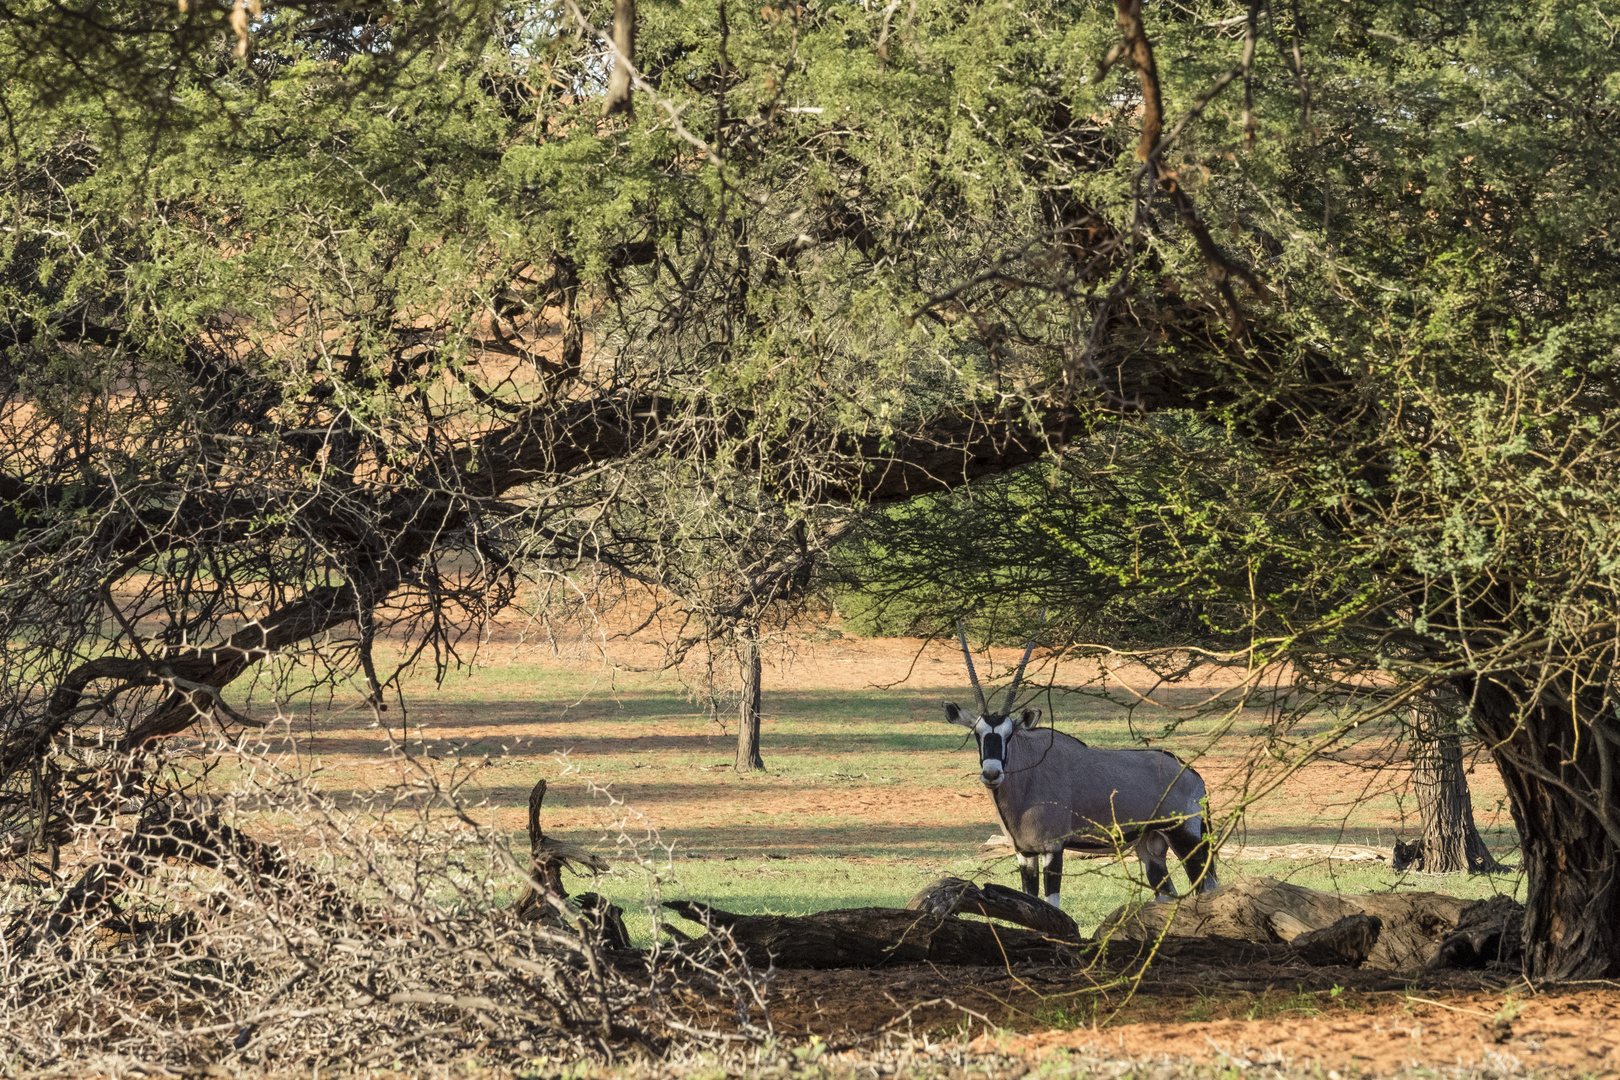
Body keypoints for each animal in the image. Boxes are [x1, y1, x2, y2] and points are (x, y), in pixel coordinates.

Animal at [946, 628, 1218, 906]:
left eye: (1009, 734)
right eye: (977, 734)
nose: (992, 773)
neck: (1029, 772)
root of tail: (1194, 774)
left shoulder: (1053, 848)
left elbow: (1052, 904)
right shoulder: (1025, 853)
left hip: (1185, 838)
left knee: (1207, 887)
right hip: (1150, 846)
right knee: (1166, 895)